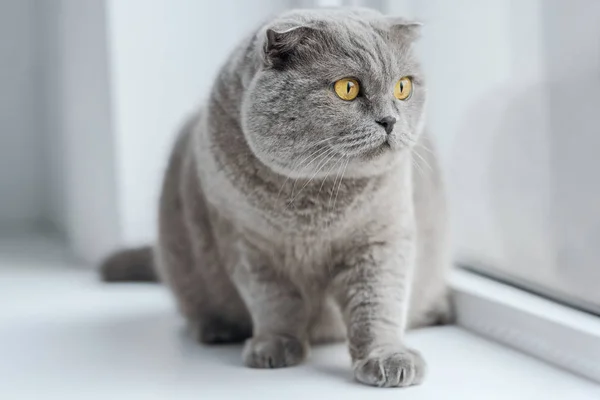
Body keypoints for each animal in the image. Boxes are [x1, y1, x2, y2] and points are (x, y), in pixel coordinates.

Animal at [101, 7, 452, 388]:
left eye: (403, 87)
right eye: (347, 88)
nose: (389, 120)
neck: (314, 203)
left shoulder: (382, 237)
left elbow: (378, 303)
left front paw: (388, 358)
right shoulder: (246, 245)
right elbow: (274, 302)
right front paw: (275, 347)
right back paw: (216, 330)